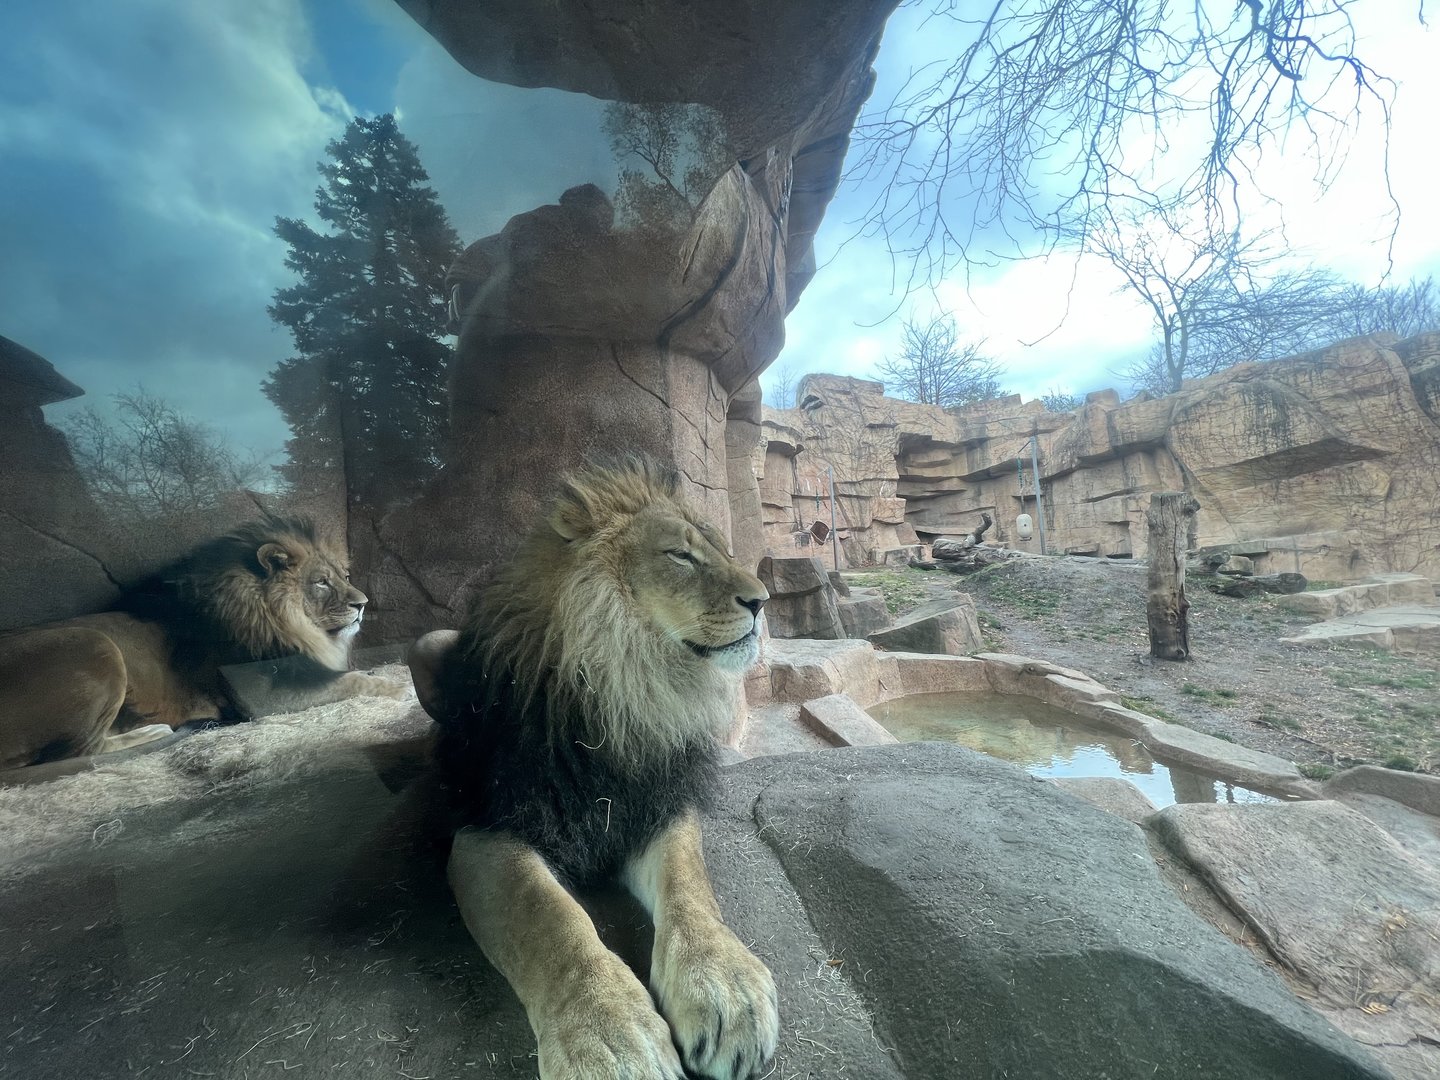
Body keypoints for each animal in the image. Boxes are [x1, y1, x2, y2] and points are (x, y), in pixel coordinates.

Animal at [0, 516, 409, 772]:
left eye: (344, 576)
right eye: (321, 582)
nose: (363, 604)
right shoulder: (259, 695)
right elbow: (350, 681)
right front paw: (400, 686)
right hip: (95, 644)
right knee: (79, 753)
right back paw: (156, 731)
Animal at [408, 456, 778, 1080]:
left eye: (723, 551)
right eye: (680, 556)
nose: (762, 600)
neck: (624, 691)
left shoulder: (655, 803)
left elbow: (690, 885)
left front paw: (727, 989)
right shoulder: (487, 831)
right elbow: (551, 921)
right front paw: (610, 1033)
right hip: (426, 642)